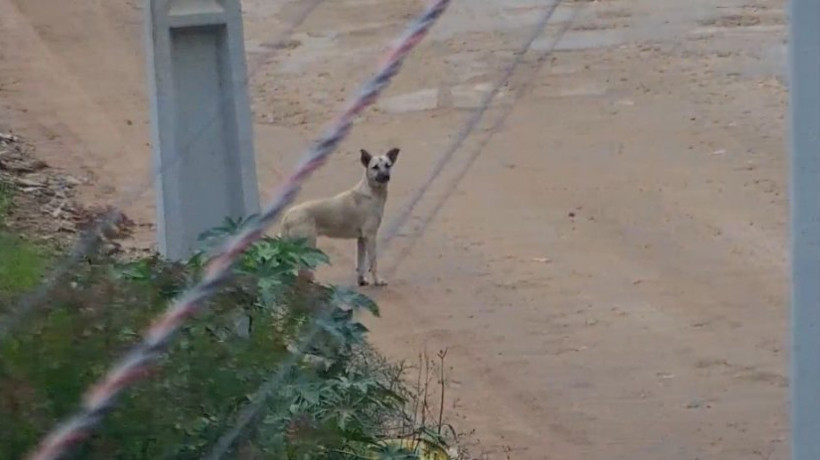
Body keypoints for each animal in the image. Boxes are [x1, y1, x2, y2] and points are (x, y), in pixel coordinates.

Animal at [278, 147, 400, 286]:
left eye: (387, 165)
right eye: (375, 167)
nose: (386, 176)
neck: (371, 192)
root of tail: (287, 215)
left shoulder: (361, 239)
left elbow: (361, 263)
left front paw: (361, 280)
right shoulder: (370, 236)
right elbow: (373, 262)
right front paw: (378, 281)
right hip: (307, 247)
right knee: (303, 273)